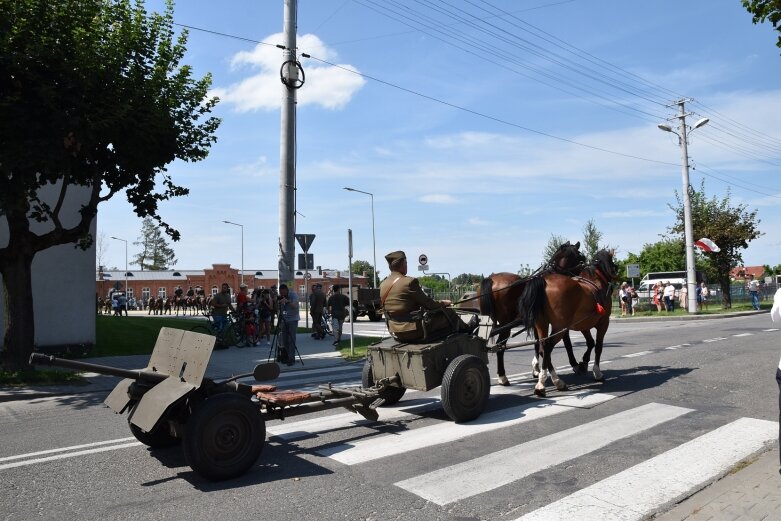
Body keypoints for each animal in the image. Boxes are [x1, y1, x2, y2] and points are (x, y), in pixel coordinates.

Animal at [476, 242, 584, 384]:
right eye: (578, 255)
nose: (585, 263)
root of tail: (491, 279)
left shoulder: (537, 322)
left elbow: (538, 343)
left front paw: (536, 369)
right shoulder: (560, 321)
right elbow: (566, 343)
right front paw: (574, 365)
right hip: (506, 323)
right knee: (500, 346)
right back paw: (502, 376)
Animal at [516, 250, 616, 396]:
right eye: (613, 265)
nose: (616, 273)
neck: (596, 281)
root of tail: (544, 281)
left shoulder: (583, 324)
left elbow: (590, 343)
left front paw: (583, 363)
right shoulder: (604, 322)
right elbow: (598, 346)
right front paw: (597, 372)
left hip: (542, 324)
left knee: (542, 346)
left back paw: (549, 380)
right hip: (559, 327)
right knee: (547, 347)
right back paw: (546, 382)